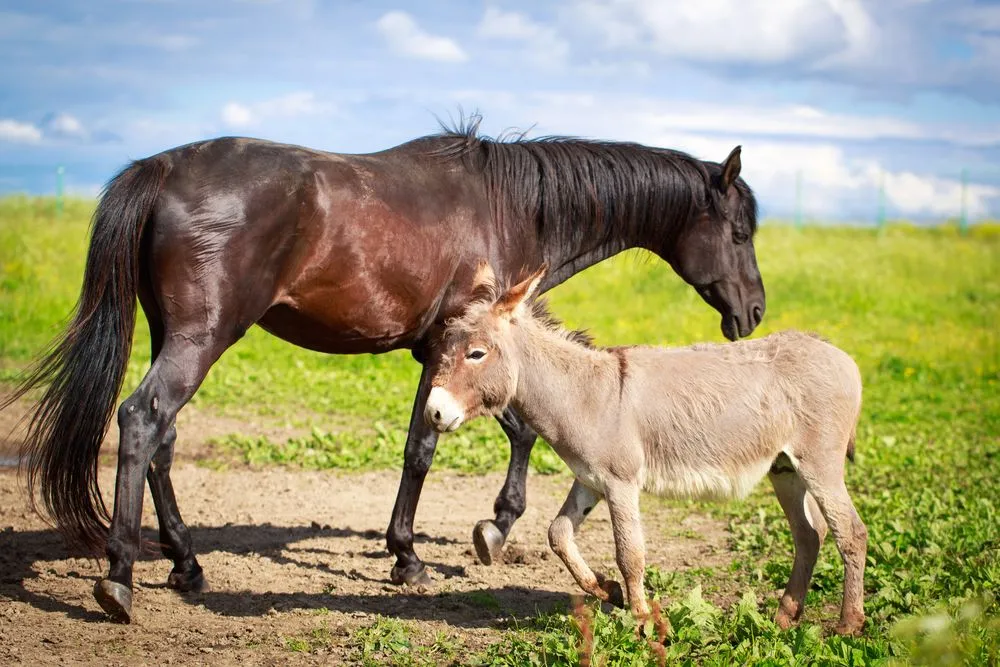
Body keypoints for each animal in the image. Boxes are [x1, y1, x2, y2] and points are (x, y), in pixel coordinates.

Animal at [3, 118, 766, 623]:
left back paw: (186, 564)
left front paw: (464, 535)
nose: (754, 310)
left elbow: (479, 434)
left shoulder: (459, 353)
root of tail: (162, 167)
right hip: (200, 339)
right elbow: (443, 445)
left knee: (162, 440)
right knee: (141, 420)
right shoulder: (453, 348)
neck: (510, 204)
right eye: (739, 231)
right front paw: (439, 546)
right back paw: (120, 577)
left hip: (179, 338)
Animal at [423, 265, 867, 636]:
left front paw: (643, 621)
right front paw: (607, 590)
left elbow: (629, 553)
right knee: (809, 535)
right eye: (445, 350)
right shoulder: (590, 479)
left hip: (820, 463)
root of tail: (842, 355)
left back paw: (848, 625)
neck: (586, 393)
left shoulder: (621, 482)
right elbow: (558, 533)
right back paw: (785, 616)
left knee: (850, 532)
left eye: (476, 353)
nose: (433, 413)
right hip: (784, 469)